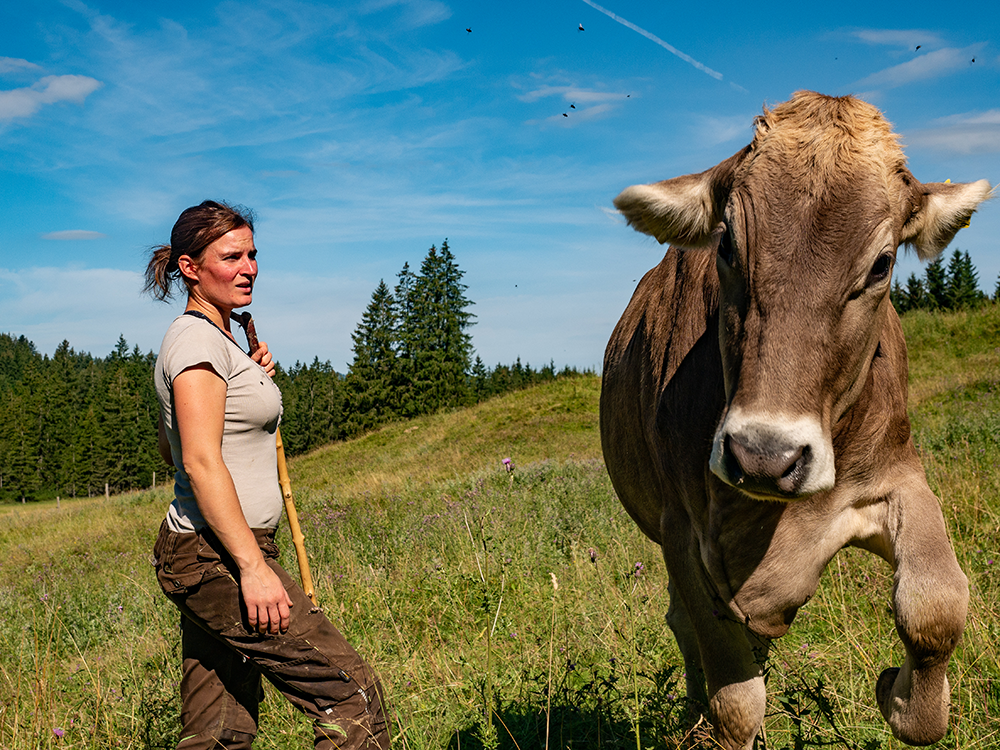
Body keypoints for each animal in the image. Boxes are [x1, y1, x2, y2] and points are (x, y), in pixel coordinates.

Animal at [600, 92, 992, 750]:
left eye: (882, 264)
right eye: (727, 246)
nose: (764, 456)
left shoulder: (896, 475)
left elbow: (936, 605)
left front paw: (898, 694)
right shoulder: (681, 529)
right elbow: (733, 696)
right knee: (686, 627)